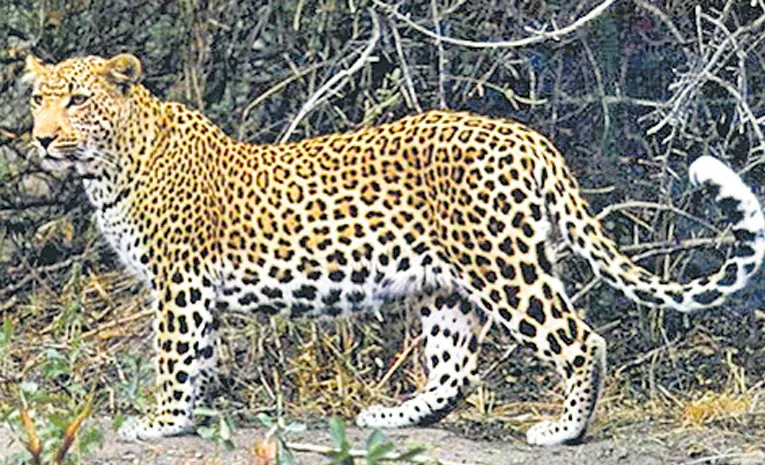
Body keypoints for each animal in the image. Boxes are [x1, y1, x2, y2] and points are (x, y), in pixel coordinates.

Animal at [24, 53, 765, 446]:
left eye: (79, 99)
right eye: (38, 99)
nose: (39, 138)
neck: (111, 163)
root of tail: (530, 138)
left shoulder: (180, 282)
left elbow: (175, 356)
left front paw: (162, 419)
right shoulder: (193, 290)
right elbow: (199, 355)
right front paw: (190, 416)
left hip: (506, 267)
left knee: (580, 339)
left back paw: (564, 430)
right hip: (449, 284)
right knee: (454, 369)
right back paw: (396, 412)